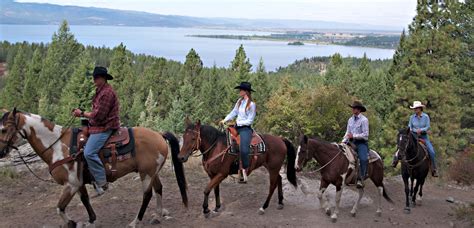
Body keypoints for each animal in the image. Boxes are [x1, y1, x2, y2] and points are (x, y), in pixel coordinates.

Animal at [0, 109, 188, 227]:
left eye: (3, 129)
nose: (1, 152)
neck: (57, 146)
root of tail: (159, 134)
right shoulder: (79, 183)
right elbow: (85, 200)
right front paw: (91, 220)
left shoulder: (71, 184)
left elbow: (59, 207)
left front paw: (71, 223)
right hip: (151, 172)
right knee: (158, 188)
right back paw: (157, 216)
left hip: (147, 174)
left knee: (147, 195)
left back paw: (136, 221)